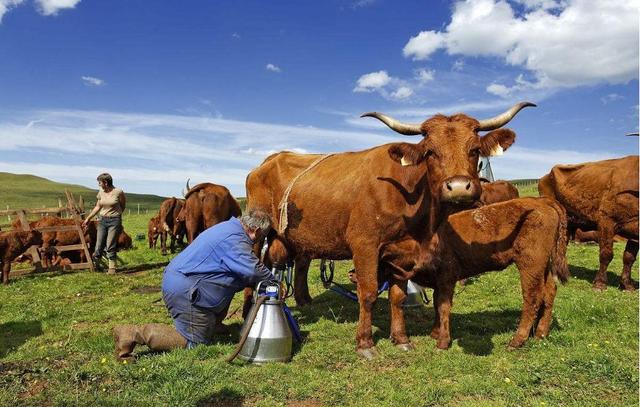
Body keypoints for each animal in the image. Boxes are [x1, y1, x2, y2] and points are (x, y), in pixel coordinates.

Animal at [245, 101, 536, 356]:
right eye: (430, 152)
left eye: (475, 149)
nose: (458, 187)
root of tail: (268, 161)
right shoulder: (365, 246)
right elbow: (369, 293)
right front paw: (365, 344)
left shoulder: (402, 253)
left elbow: (397, 295)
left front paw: (401, 339)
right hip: (256, 229)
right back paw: (249, 311)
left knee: (298, 264)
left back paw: (304, 301)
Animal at [378, 198, 568, 350]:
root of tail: (540, 201)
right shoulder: (436, 281)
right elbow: (435, 304)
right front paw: (435, 333)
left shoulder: (447, 277)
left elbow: (443, 306)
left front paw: (442, 342)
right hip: (544, 266)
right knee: (549, 292)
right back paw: (540, 334)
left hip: (530, 265)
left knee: (532, 298)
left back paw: (517, 340)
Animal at [536, 156, 636, 294]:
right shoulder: (606, 221)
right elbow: (606, 254)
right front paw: (600, 284)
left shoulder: (635, 230)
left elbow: (629, 258)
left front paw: (627, 285)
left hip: (567, 224)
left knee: (562, 245)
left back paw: (560, 274)